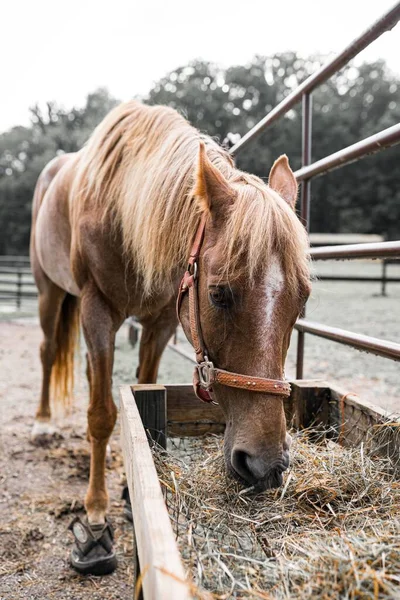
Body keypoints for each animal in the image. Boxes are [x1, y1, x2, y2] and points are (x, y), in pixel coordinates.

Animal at [30, 99, 312, 576]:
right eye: (219, 293)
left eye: (303, 298)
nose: (266, 465)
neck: (123, 207)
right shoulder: (96, 310)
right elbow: (101, 416)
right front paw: (95, 523)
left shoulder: (162, 319)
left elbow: (138, 397)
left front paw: (129, 493)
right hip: (50, 292)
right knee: (49, 352)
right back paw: (43, 423)